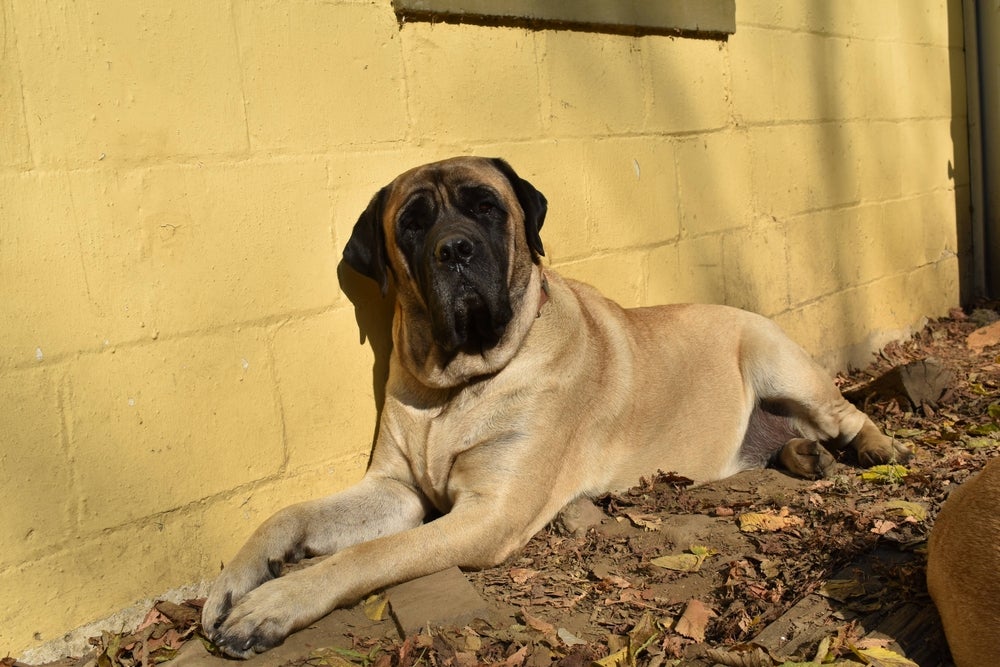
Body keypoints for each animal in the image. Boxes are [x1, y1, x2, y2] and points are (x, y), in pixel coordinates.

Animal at [201, 155, 908, 656]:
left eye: (487, 208)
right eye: (412, 223)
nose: (454, 249)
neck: (453, 386)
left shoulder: (488, 515)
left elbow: (369, 556)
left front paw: (274, 602)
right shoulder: (395, 489)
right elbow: (287, 515)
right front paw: (235, 581)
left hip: (775, 355)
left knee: (847, 413)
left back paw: (875, 447)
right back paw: (803, 453)